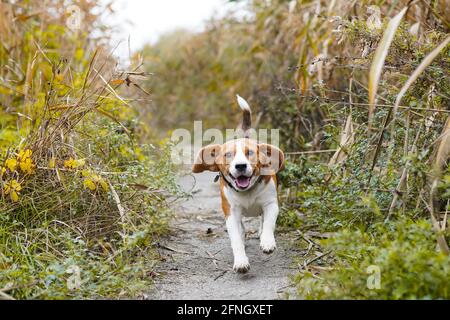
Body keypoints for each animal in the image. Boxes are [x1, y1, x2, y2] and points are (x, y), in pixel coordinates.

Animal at [192, 95, 284, 272]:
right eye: (228, 155)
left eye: (250, 153)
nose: (240, 166)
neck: (247, 191)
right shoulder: (231, 212)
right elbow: (235, 238)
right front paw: (241, 260)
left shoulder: (271, 204)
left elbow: (269, 223)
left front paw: (267, 241)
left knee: (262, 219)